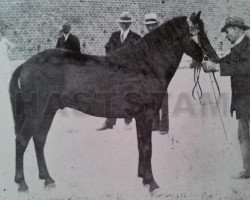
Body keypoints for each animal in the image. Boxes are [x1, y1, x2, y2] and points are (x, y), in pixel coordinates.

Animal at [9, 12, 204, 192]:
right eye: (194, 33)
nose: (203, 56)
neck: (145, 64)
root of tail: (25, 64)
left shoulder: (139, 117)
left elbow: (141, 145)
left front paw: (142, 176)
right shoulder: (146, 115)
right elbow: (147, 147)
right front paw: (151, 182)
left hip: (48, 111)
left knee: (39, 139)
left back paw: (47, 179)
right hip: (37, 112)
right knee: (21, 140)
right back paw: (22, 183)